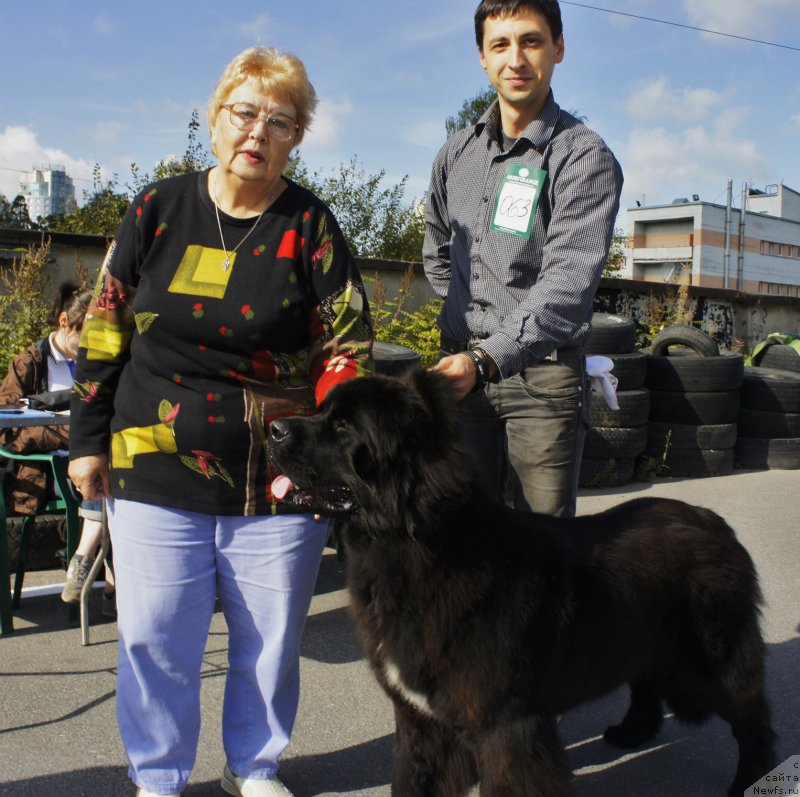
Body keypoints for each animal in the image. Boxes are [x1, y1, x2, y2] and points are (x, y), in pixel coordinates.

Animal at [268, 370, 776, 792]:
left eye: (344, 428)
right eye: (321, 411)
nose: (274, 429)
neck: (418, 547)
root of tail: (716, 522)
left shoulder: (506, 726)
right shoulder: (421, 721)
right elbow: (413, 781)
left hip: (709, 663)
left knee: (754, 719)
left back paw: (750, 780)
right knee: (646, 682)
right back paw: (631, 732)